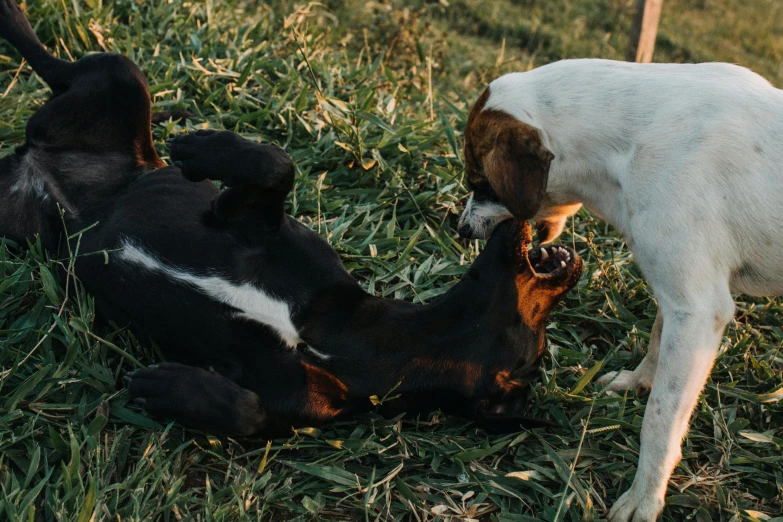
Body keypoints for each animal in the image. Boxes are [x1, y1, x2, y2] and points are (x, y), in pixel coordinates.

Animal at [0, 1, 580, 434]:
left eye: (536, 348)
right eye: (541, 332)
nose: (575, 265)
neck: (353, 338)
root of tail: (35, 160)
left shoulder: (303, 404)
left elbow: (248, 413)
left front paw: (174, 389)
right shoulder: (252, 222)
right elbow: (278, 166)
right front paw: (209, 149)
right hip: (123, 75)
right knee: (49, 59)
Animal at [456, 59, 783, 516]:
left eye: (481, 183)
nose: (461, 228)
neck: (631, 139)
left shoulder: (699, 312)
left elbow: (661, 417)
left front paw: (645, 496)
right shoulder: (676, 293)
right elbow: (656, 344)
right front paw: (637, 381)